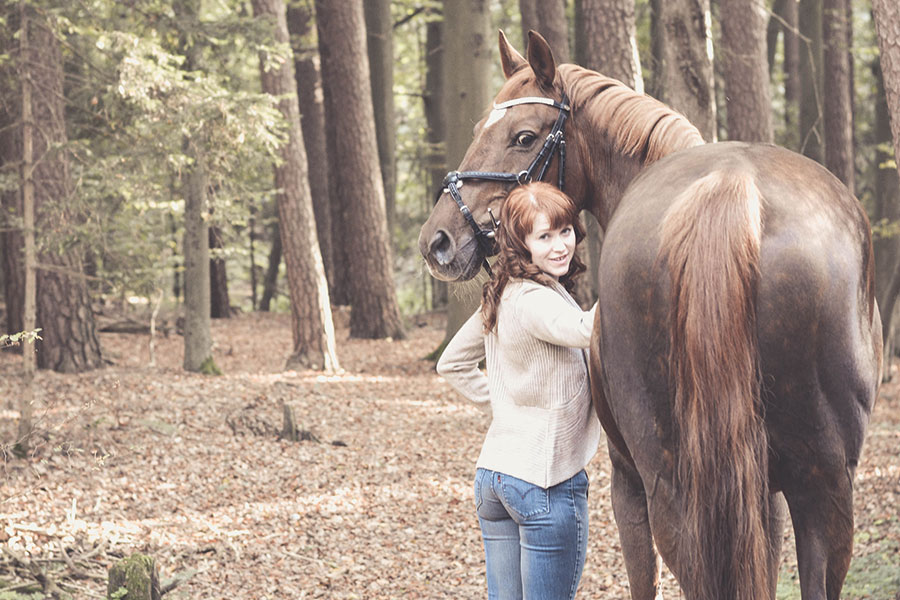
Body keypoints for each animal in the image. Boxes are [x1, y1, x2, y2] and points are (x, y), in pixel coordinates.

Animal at [418, 31, 884, 600]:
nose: (438, 241)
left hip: (674, 482)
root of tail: (732, 185)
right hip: (823, 482)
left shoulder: (628, 482)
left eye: (523, 137)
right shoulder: (767, 492)